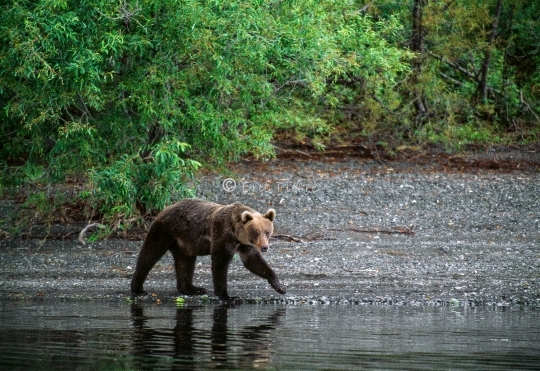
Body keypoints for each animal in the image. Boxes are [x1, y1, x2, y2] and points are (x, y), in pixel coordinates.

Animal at [130, 199, 286, 300]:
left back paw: (193, 289)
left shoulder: (245, 245)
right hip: (164, 230)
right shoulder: (222, 235)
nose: (264, 247)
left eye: (267, 231)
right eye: (256, 232)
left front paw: (279, 286)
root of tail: (165, 209)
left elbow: (253, 262)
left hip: (184, 242)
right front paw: (227, 296)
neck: (236, 233)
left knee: (185, 263)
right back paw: (138, 289)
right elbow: (219, 262)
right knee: (150, 254)